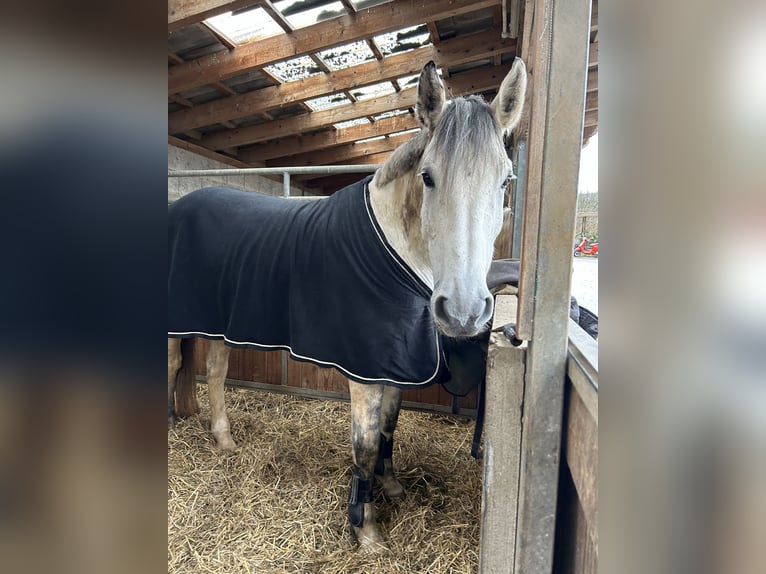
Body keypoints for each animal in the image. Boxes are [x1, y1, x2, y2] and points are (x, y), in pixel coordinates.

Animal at [167, 57, 528, 552]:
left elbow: (390, 427)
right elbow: (365, 445)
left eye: (506, 180)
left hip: (218, 325)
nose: (463, 312)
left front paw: (391, 486)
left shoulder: (392, 365)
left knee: (217, 372)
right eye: (428, 176)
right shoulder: (364, 372)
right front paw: (367, 528)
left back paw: (224, 440)